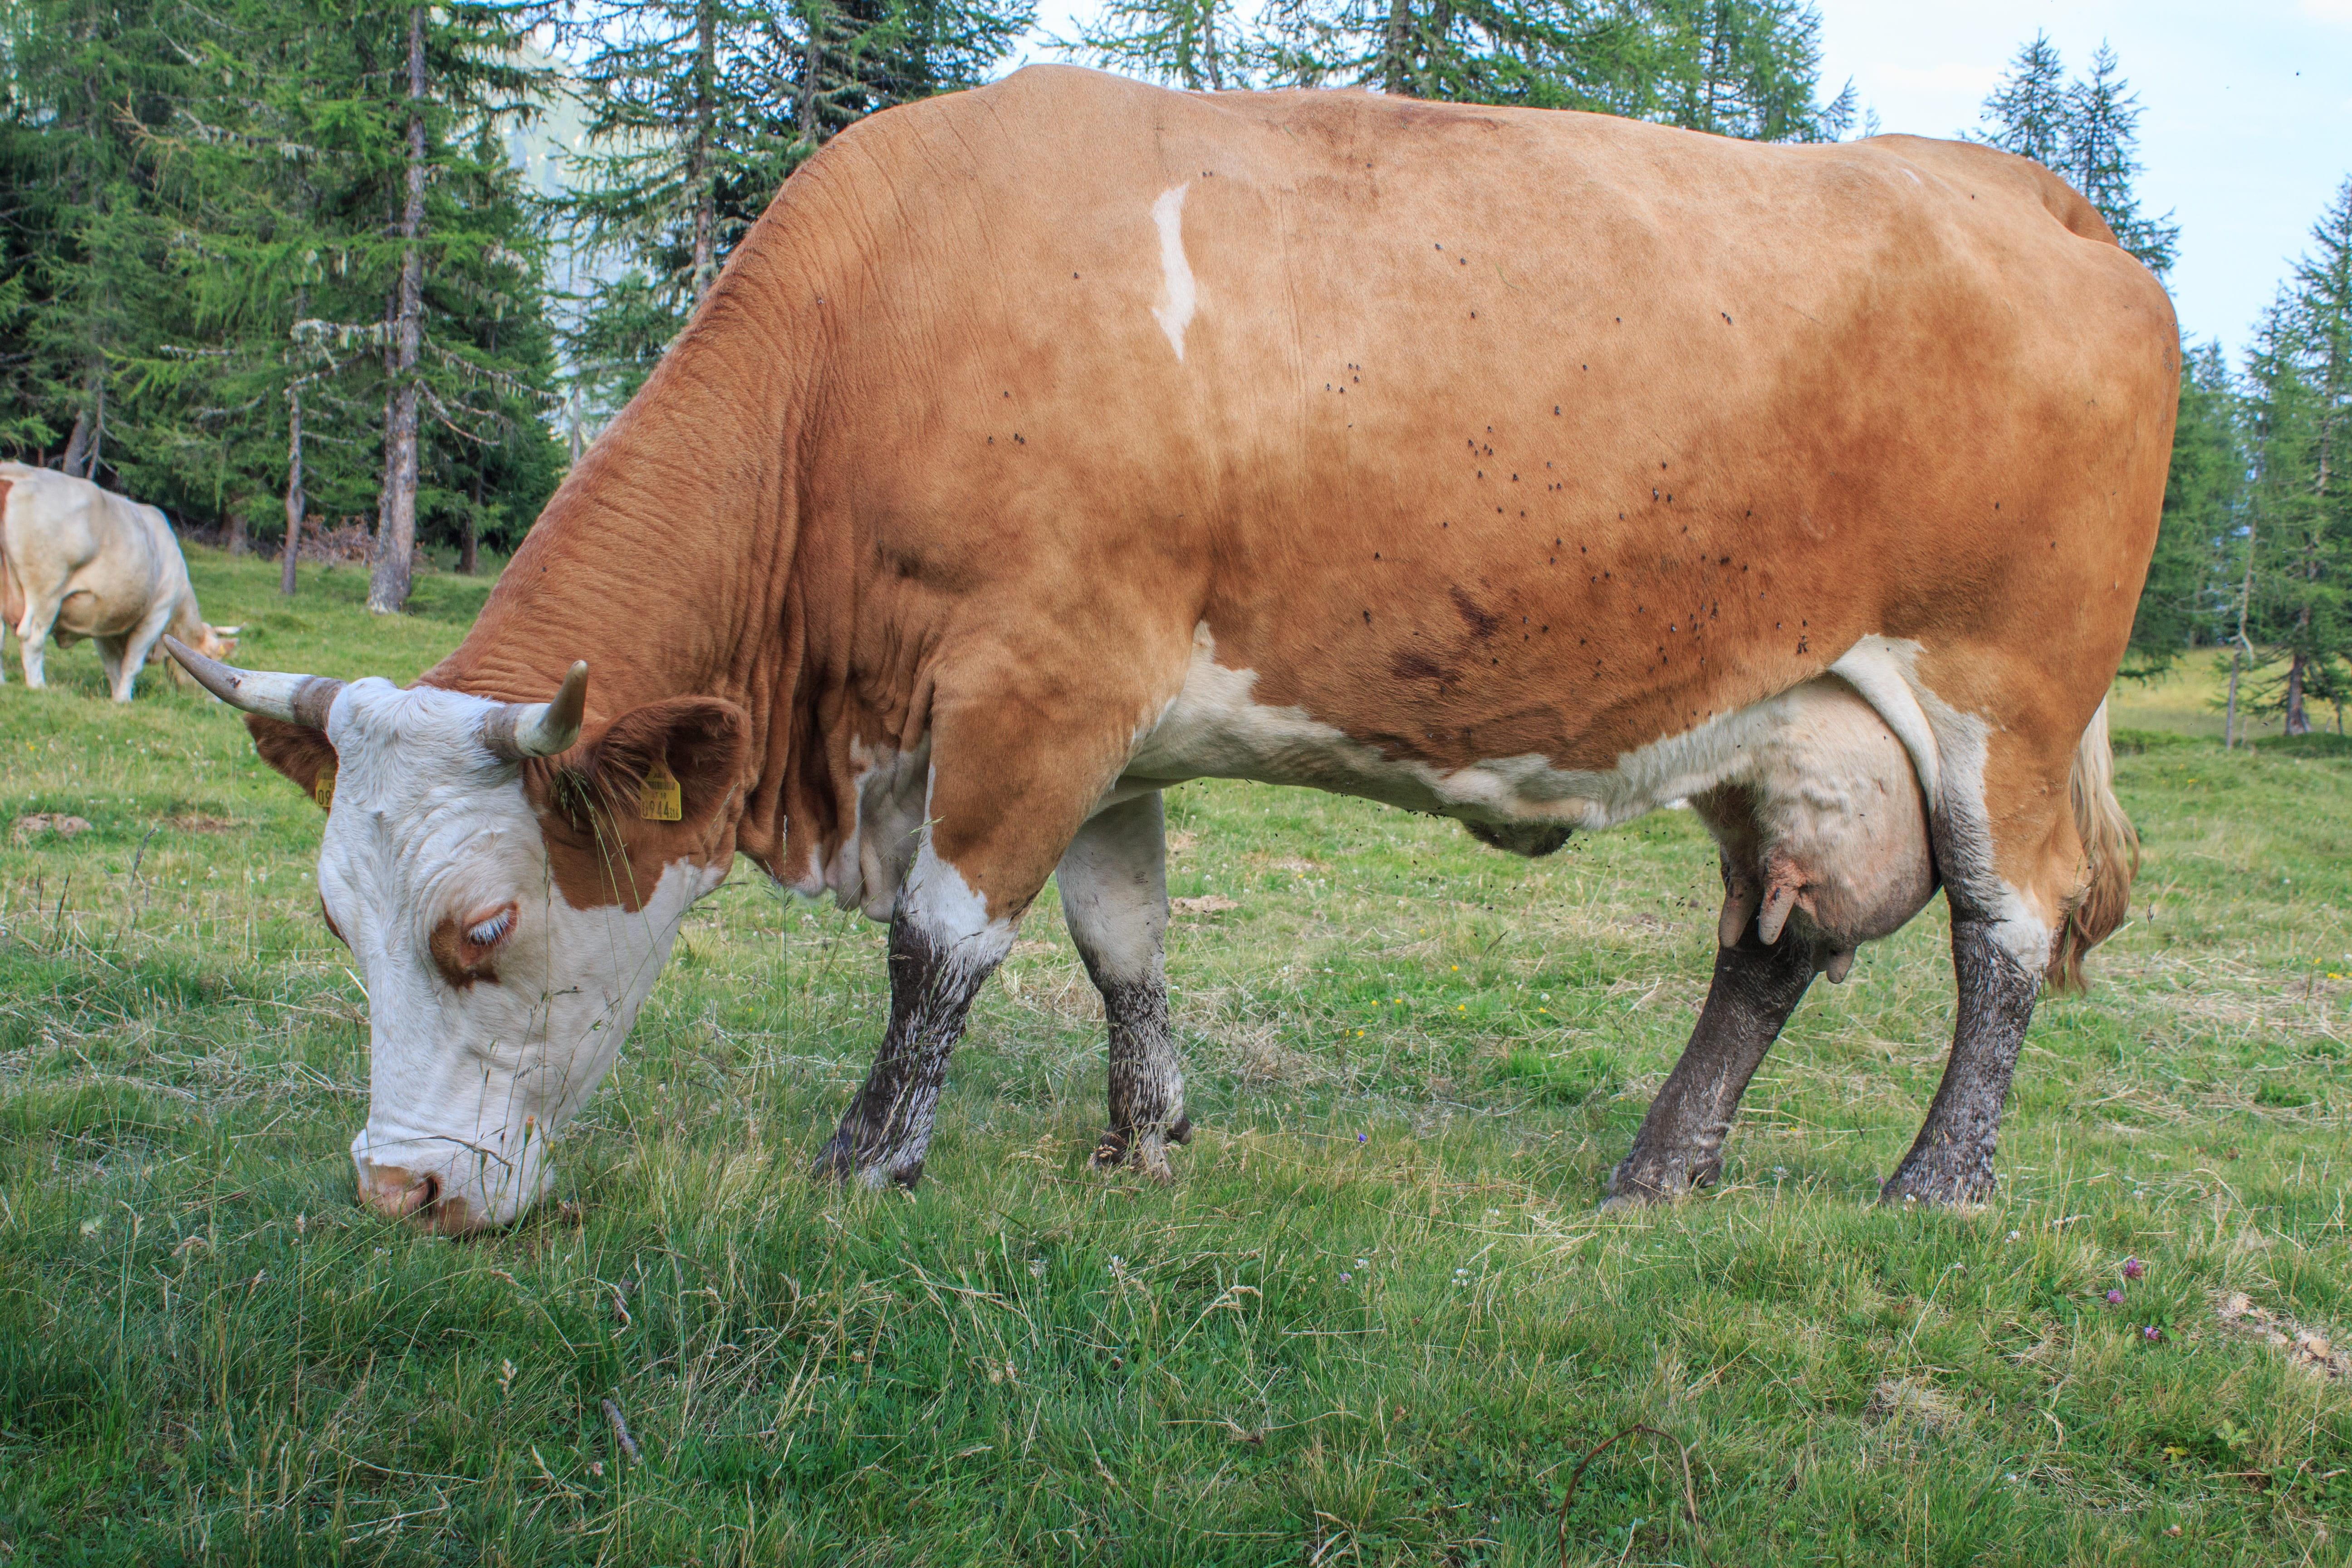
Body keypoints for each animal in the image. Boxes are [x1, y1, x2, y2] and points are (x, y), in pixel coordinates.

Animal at [1, 463, 238, 701]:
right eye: (214, 659)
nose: (218, 701)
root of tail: (17, 473)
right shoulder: (156, 615)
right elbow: (132, 664)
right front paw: (125, 700)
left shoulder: (104, 622)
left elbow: (113, 665)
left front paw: (116, 698)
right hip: (47, 592)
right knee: (32, 637)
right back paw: (38, 686)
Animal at [166, 67, 2172, 1233]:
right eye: (335, 917)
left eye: (482, 925)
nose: (397, 1193)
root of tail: (2025, 192)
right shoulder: (1101, 719)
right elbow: (1115, 934)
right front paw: (1143, 1139)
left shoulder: (1038, 681)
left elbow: (941, 943)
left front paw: (865, 1160)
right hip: (1793, 722)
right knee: (1766, 952)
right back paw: (1657, 1172)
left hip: (2000, 698)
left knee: (2001, 939)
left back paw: (1938, 1185)